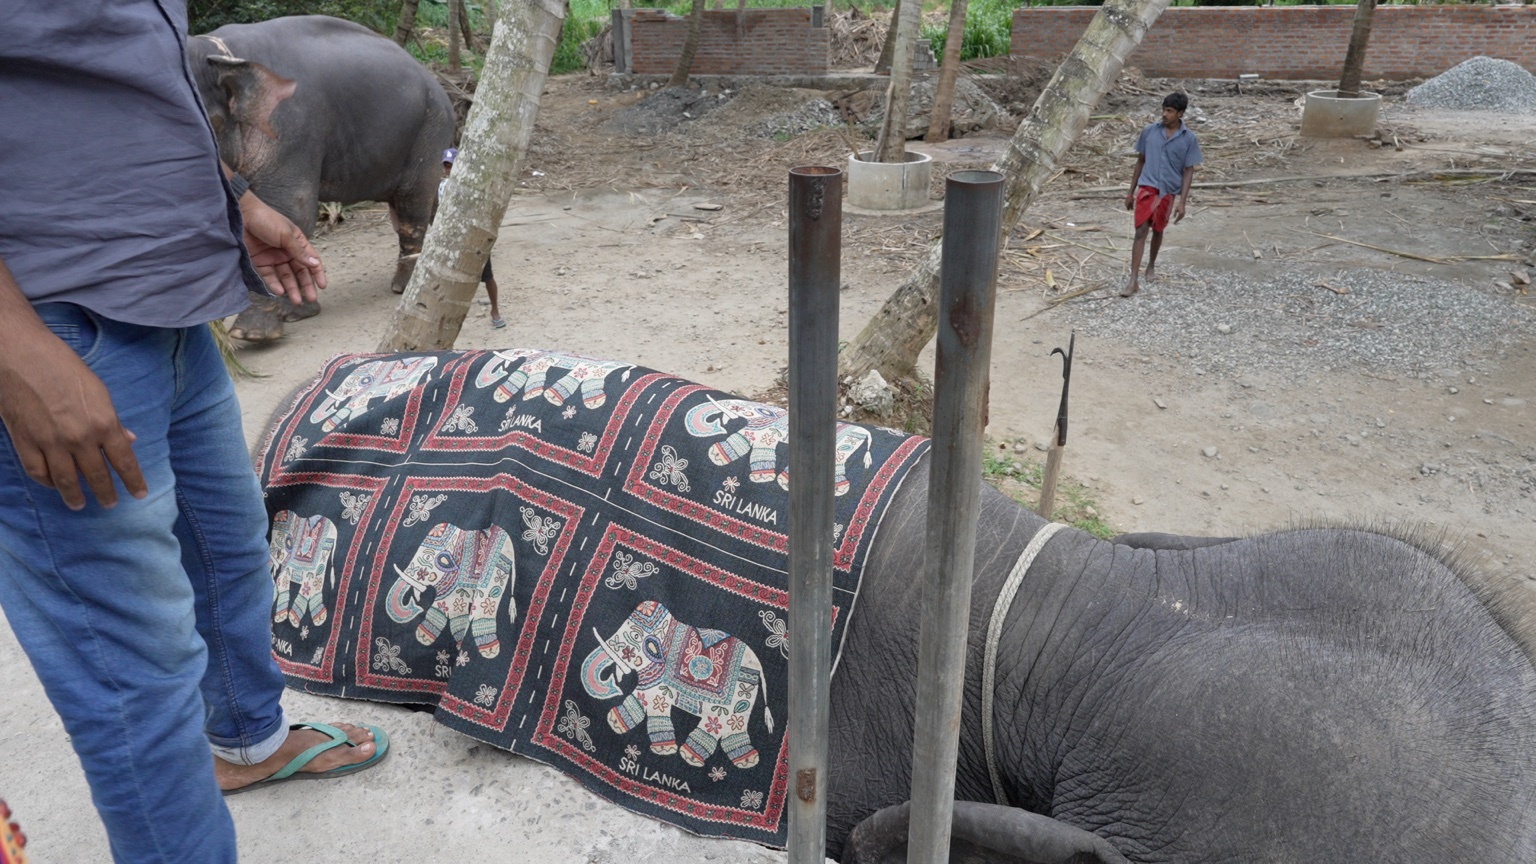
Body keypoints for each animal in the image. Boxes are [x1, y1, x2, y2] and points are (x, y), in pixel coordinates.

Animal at [187, 15, 455, 342]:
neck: (216, 52)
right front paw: (296, 313)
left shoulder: (288, 128)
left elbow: (290, 211)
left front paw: (250, 334)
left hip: (430, 128)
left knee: (412, 202)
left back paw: (403, 286)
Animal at [386, 522, 516, 659]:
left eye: (427, 557)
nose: (416, 605)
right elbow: (445, 609)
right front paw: (425, 636)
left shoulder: (458, 586)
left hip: (498, 570)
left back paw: (490, 650)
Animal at [581, 600, 774, 770]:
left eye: (635, 636)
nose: (615, 684)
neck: (669, 629)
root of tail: (758, 666)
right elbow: (640, 698)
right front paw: (615, 722)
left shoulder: (661, 683)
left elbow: (657, 706)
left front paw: (664, 750)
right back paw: (746, 760)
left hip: (737, 696)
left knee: (718, 723)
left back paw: (692, 756)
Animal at [684, 397, 873, 495]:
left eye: (744, 408)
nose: (720, 423)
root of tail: (863, 429)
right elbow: (741, 440)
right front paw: (716, 456)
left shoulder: (769, 432)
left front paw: (763, 478)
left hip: (845, 443)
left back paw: (785, 483)